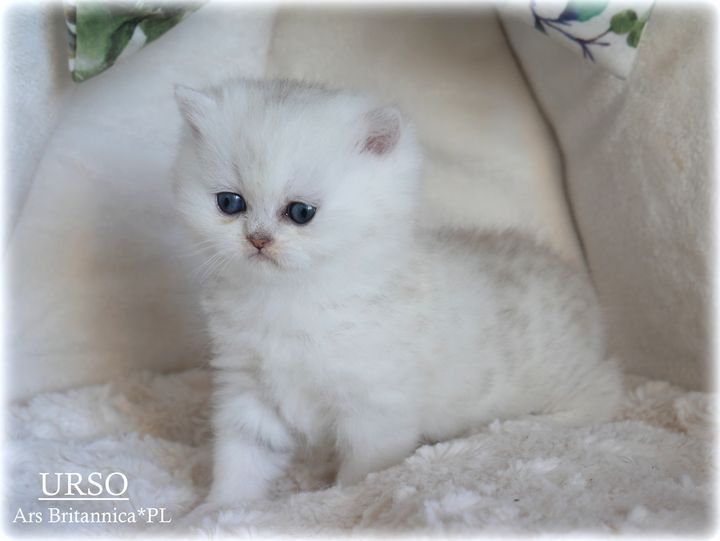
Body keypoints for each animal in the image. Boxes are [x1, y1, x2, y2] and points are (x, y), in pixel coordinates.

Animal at [172, 78, 623, 505]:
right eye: (230, 203)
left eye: (300, 212)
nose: (258, 240)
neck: (289, 297)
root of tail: (582, 290)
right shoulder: (247, 387)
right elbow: (241, 456)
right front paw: (218, 509)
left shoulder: (377, 409)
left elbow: (361, 473)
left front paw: (337, 499)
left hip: (565, 382)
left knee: (601, 396)